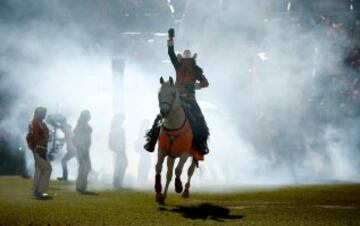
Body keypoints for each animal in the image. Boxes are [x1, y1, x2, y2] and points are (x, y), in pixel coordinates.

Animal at [155, 76, 200, 205]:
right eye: (159, 93)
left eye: (173, 93)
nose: (163, 112)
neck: (173, 126)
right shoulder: (163, 151)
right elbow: (159, 167)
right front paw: (159, 194)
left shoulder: (184, 154)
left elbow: (178, 170)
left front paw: (178, 187)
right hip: (172, 156)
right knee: (169, 174)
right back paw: (164, 195)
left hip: (194, 155)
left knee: (190, 171)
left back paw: (185, 191)